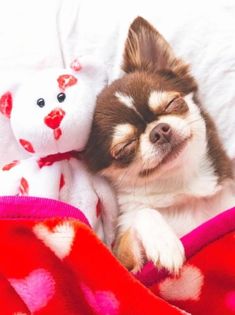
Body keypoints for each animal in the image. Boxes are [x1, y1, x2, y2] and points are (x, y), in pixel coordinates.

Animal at [85, 16, 235, 274]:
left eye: (172, 103)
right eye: (125, 147)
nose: (159, 131)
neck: (186, 186)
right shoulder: (124, 263)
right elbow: (143, 212)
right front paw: (164, 242)